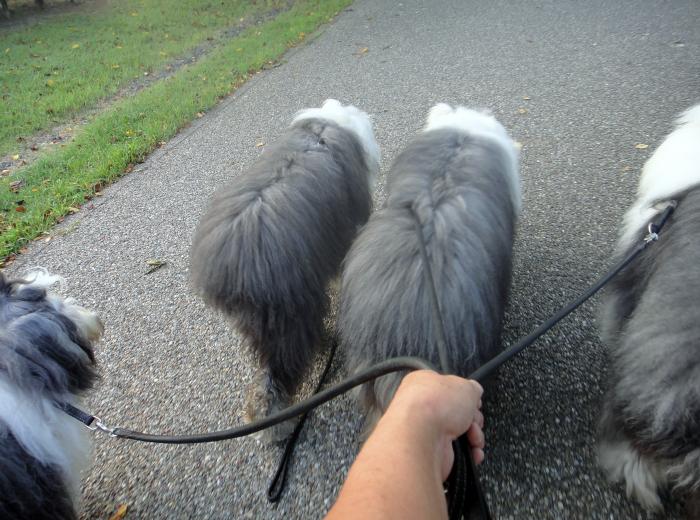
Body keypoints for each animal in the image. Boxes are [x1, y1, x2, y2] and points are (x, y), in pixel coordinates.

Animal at [190, 99, 379, 441]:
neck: (323, 130)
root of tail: (236, 264)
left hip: (259, 321)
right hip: (290, 314)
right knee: (278, 374)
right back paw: (277, 425)